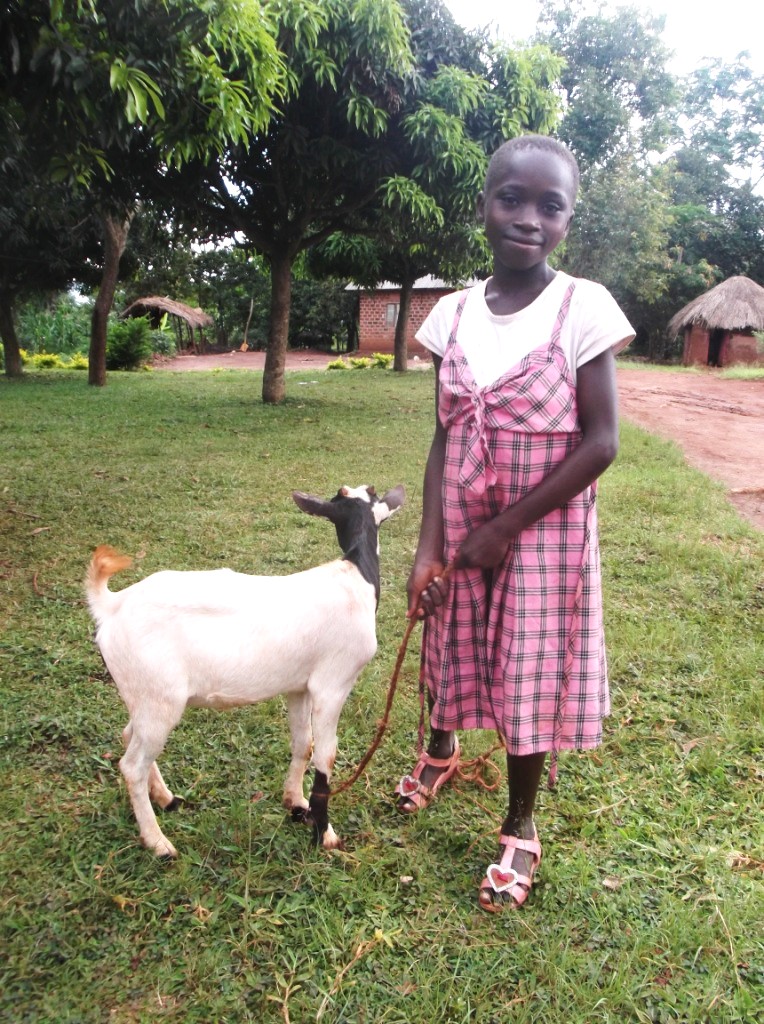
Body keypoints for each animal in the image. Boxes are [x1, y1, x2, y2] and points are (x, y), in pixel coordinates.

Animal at [85, 484, 405, 858]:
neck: (355, 576)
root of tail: (113, 605)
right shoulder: (333, 683)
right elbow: (326, 756)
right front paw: (325, 833)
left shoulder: (299, 686)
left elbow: (303, 744)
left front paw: (296, 804)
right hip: (160, 699)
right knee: (132, 764)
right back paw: (159, 843)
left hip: (143, 695)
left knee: (128, 737)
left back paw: (166, 799)